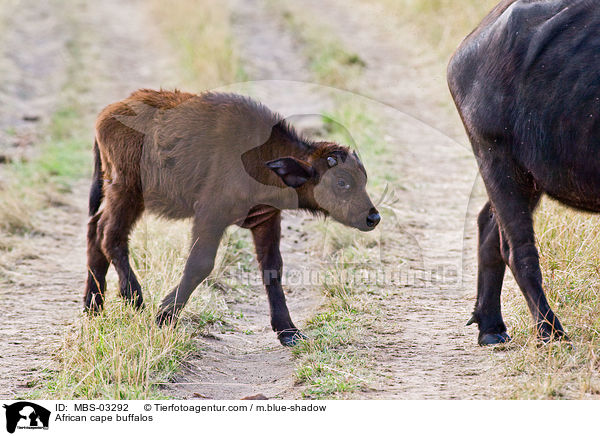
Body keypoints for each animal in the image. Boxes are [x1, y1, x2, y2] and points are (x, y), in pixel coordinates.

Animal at [448, 0, 596, 344]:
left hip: (527, 175)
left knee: (489, 226)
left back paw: (490, 326)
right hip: (497, 159)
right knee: (517, 249)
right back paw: (550, 331)